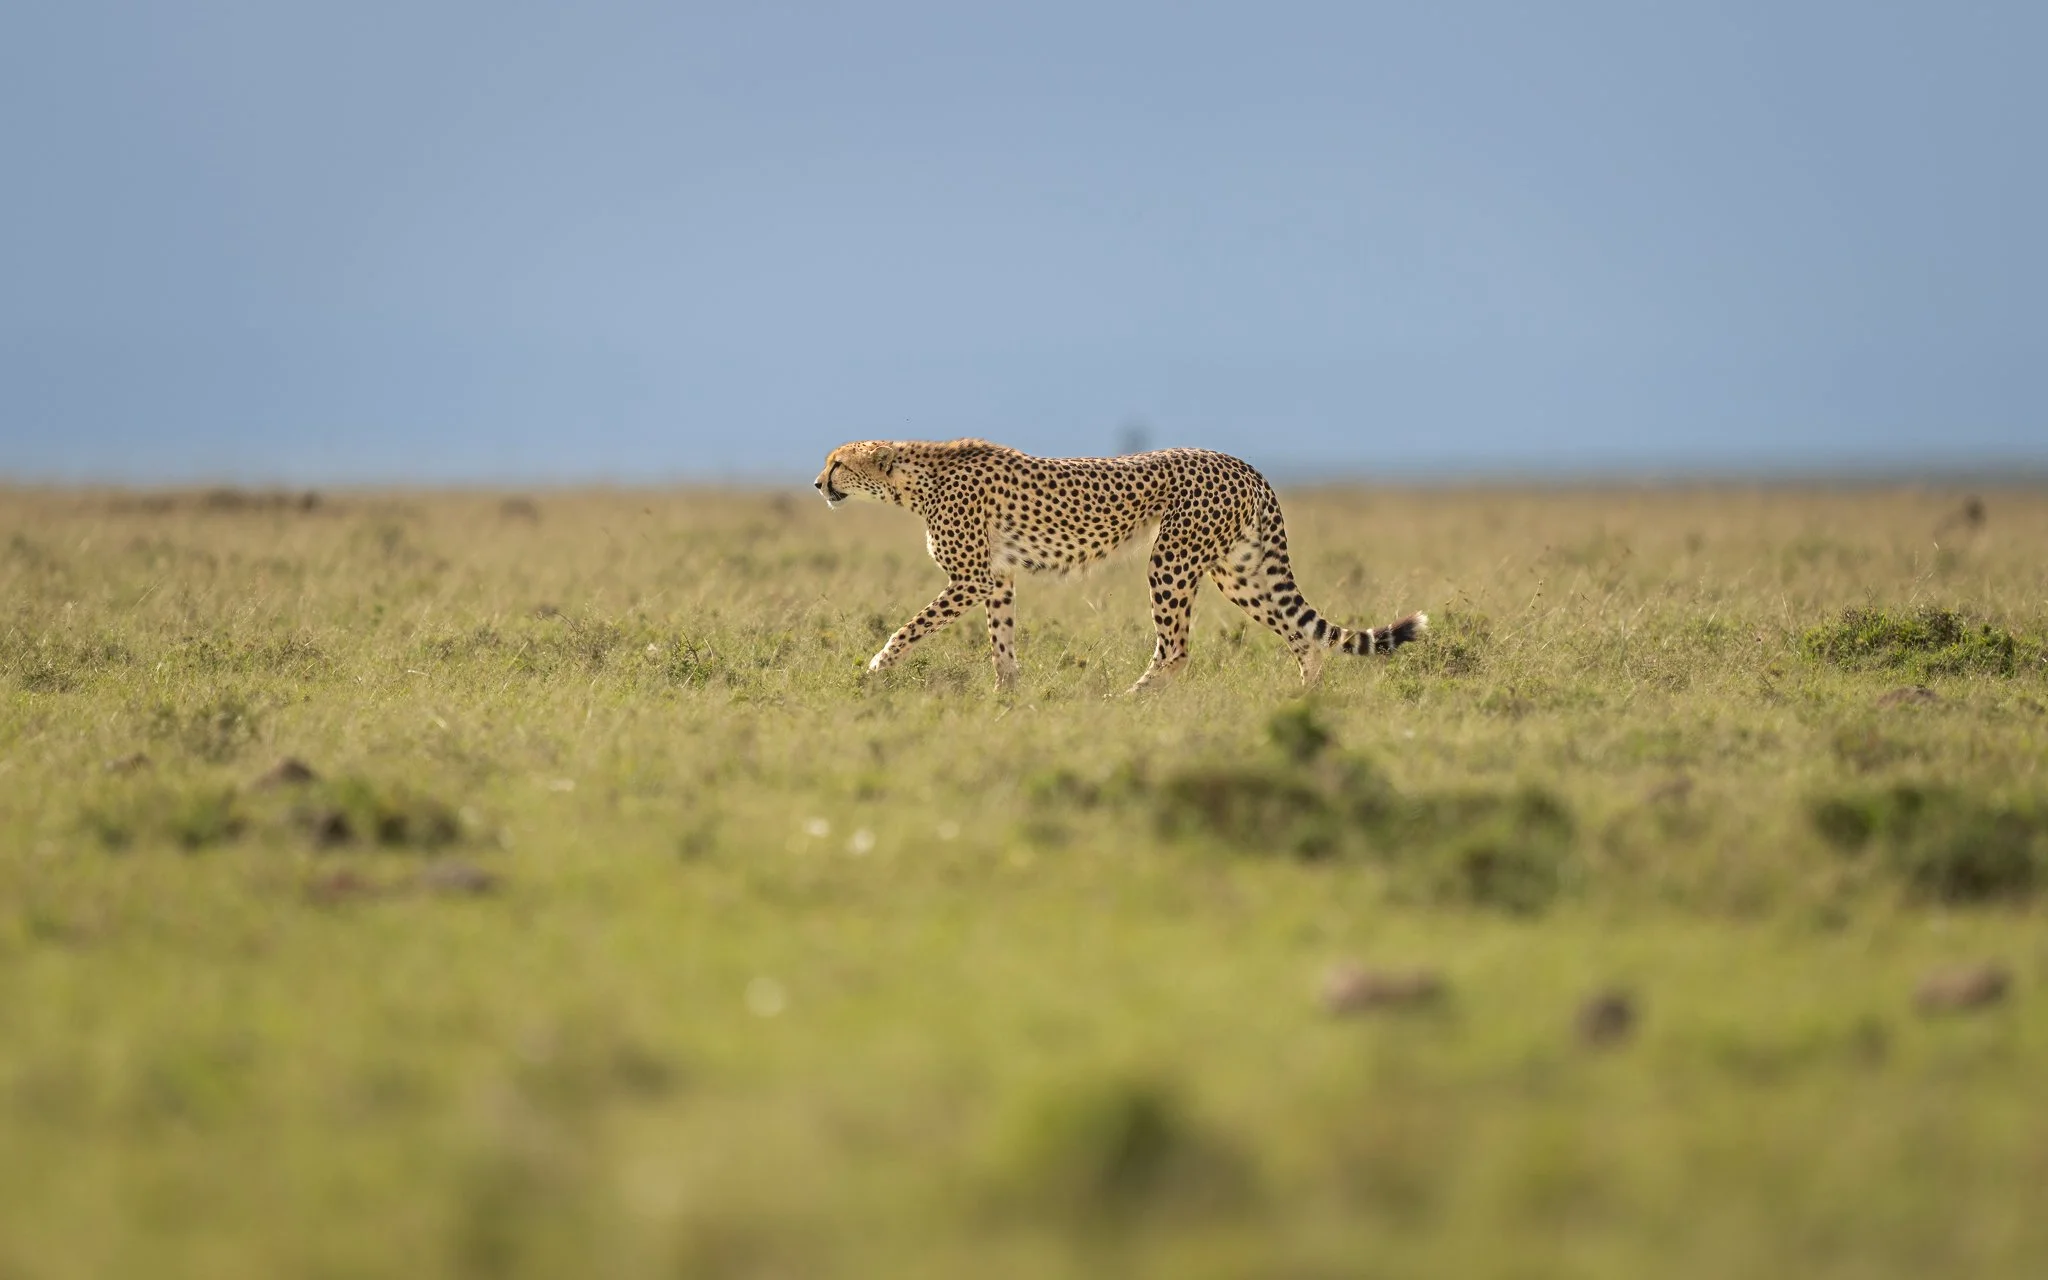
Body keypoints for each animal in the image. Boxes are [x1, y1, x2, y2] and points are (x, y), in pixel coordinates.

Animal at [814, 438, 1426, 694]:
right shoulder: (999, 579)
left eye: (838, 463)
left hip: (1171, 559)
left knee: (1176, 649)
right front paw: (1008, 695)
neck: (917, 478)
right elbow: (1001, 643)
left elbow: (906, 628)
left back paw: (1130, 700)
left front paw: (875, 670)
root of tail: (1242, 463)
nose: (818, 484)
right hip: (1236, 571)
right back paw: (1305, 697)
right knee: (1302, 636)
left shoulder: (971, 578)